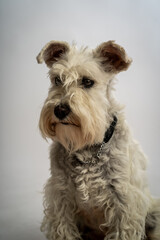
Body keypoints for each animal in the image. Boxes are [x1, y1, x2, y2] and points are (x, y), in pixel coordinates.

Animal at [36, 41, 160, 240]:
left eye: (87, 81)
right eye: (57, 80)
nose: (60, 110)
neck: (88, 146)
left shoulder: (123, 201)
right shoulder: (61, 196)